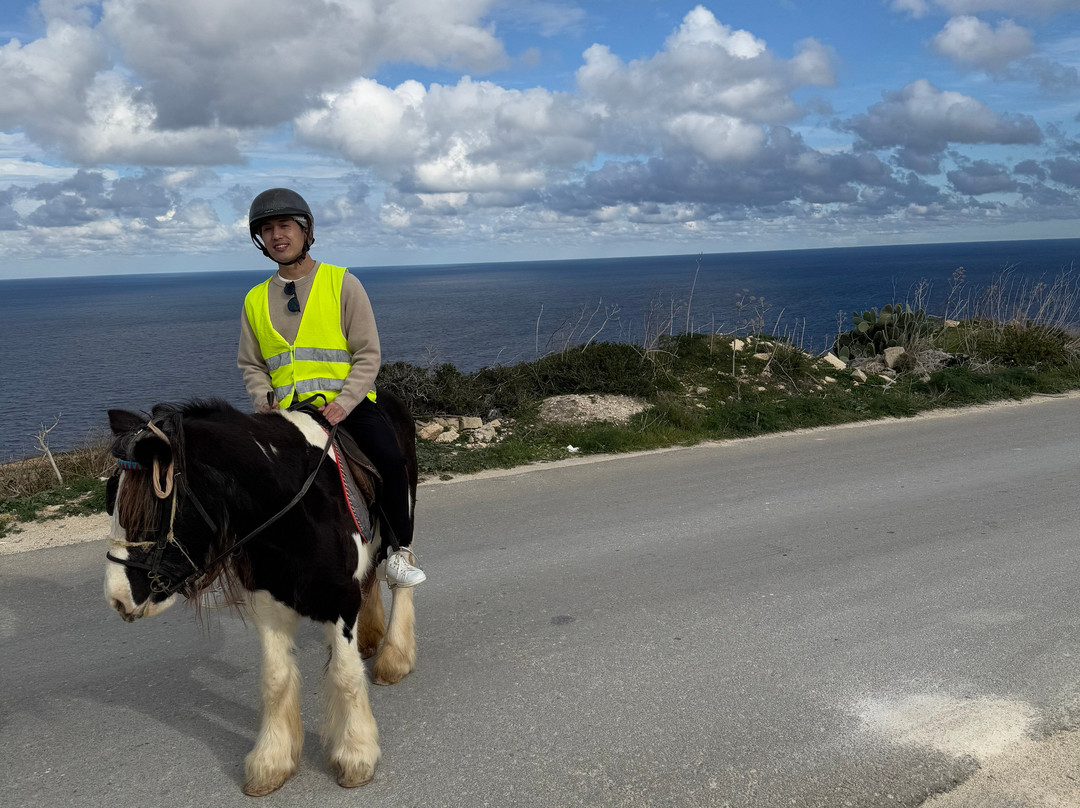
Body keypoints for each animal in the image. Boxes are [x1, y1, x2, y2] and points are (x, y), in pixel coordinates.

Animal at [103, 395, 419, 796]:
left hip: (403, 515)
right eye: (111, 498)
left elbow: (346, 675)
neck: (291, 510)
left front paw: (355, 755)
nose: (117, 597)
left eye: (151, 507)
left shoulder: (341, 601)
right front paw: (272, 761)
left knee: (400, 578)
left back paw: (394, 657)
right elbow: (275, 679)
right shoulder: (268, 607)